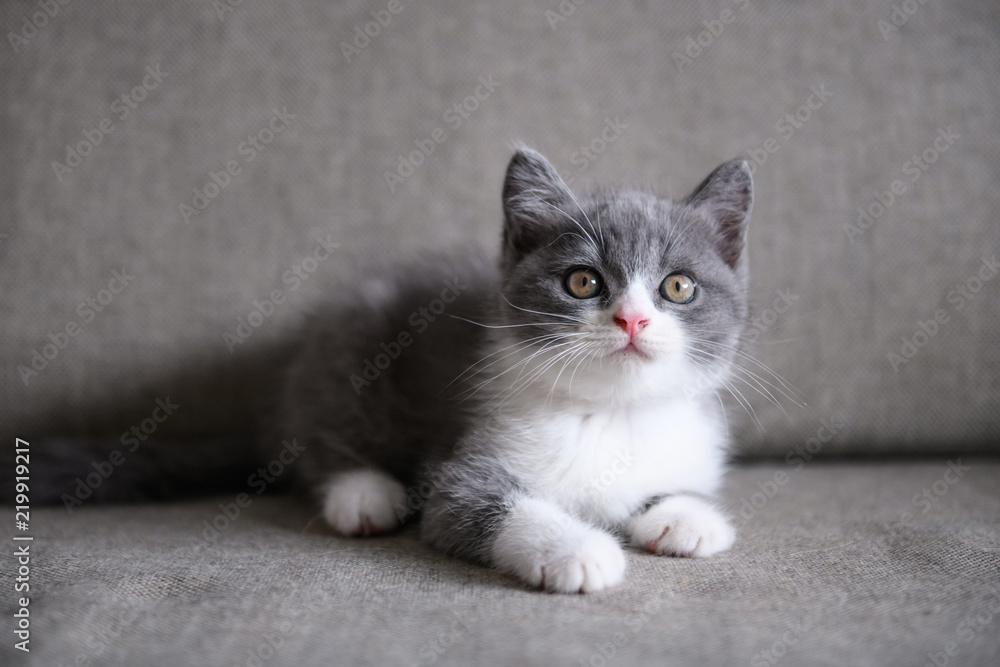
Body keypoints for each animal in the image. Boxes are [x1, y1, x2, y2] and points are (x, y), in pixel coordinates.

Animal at [282, 150, 752, 596]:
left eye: (678, 286)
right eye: (583, 281)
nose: (632, 319)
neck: (610, 409)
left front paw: (686, 517)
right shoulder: (462, 472)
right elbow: (482, 504)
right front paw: (577, 550)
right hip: (352, 348)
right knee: (325, 430)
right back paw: (362, 496)